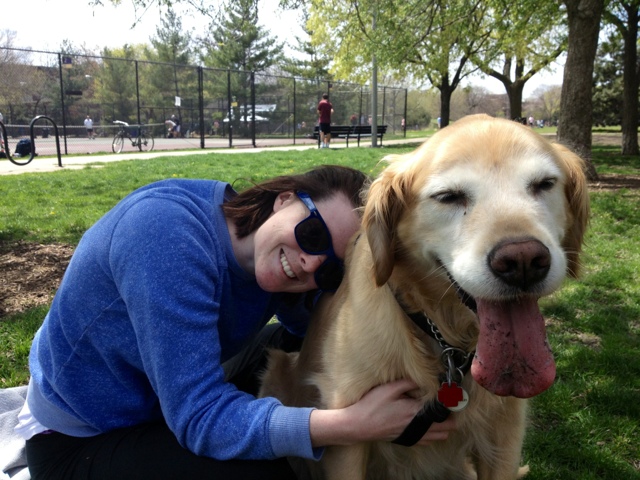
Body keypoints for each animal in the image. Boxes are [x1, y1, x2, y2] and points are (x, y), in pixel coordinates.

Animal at [260, 114, 590, 479]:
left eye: (544, 184)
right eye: (448, 196)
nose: (523, 263)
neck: (446, 345)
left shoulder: (505, 434)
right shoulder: (346, 428)